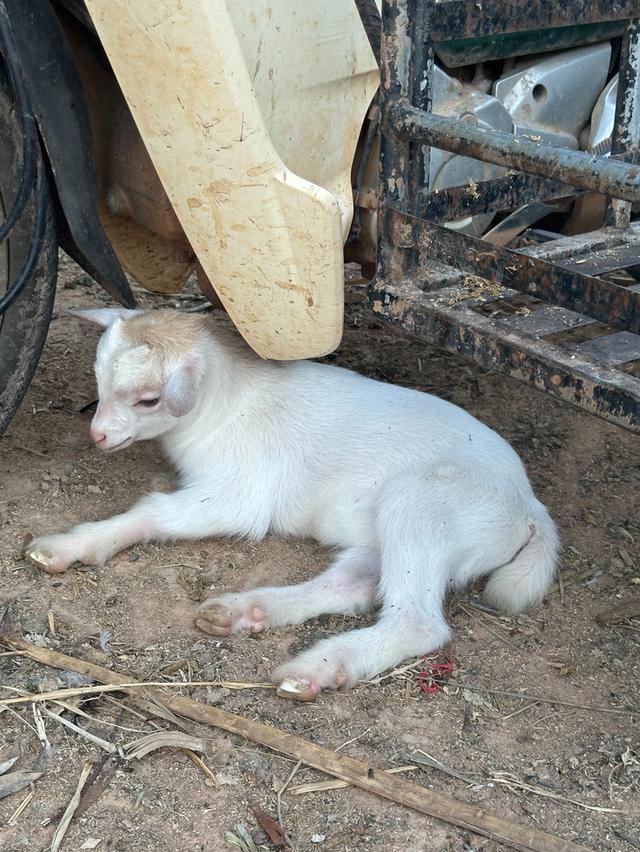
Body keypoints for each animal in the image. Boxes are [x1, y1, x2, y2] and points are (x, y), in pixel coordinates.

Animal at [26, 308, 558, 700]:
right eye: (98, 381)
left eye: (149, 400)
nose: (97, 435)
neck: (225, 403)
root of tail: (530, 508)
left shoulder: (240, 495)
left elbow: (154, 509)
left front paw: (71, 544)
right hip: (389, 531)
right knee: (353, 585)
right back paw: (247, 611)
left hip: (424, 505)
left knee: (418, 622)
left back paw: (321, 665)